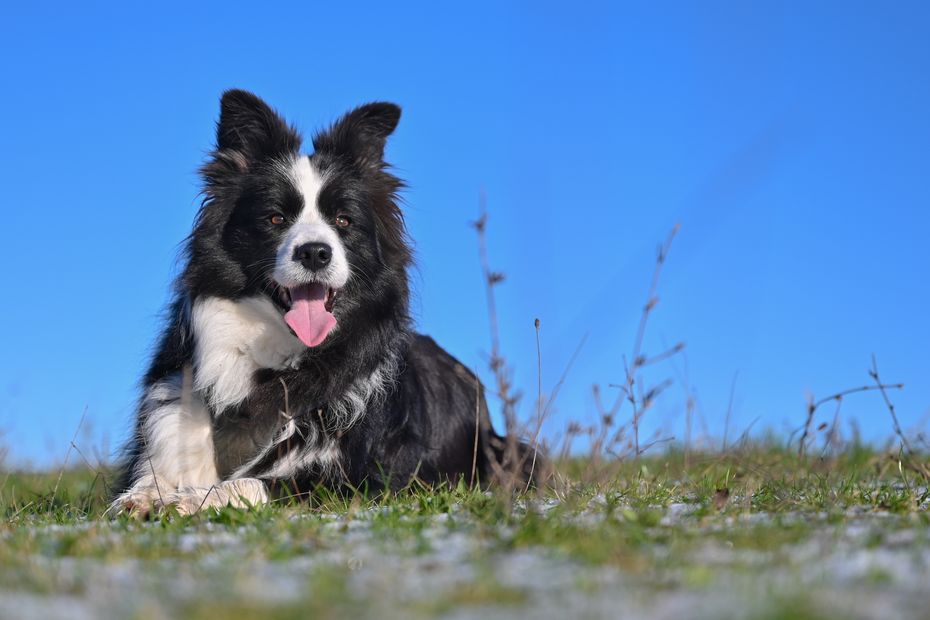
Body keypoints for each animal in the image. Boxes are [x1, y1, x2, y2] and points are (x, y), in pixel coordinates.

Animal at [109, 91, 532, 520]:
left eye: (343, 221)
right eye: (275, 218)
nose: (314, 252)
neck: (271, 362)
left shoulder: (350, 480)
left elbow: (249, 483)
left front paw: (188, 498)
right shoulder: (173, 408)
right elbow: (152, 476)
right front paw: (144, 496)